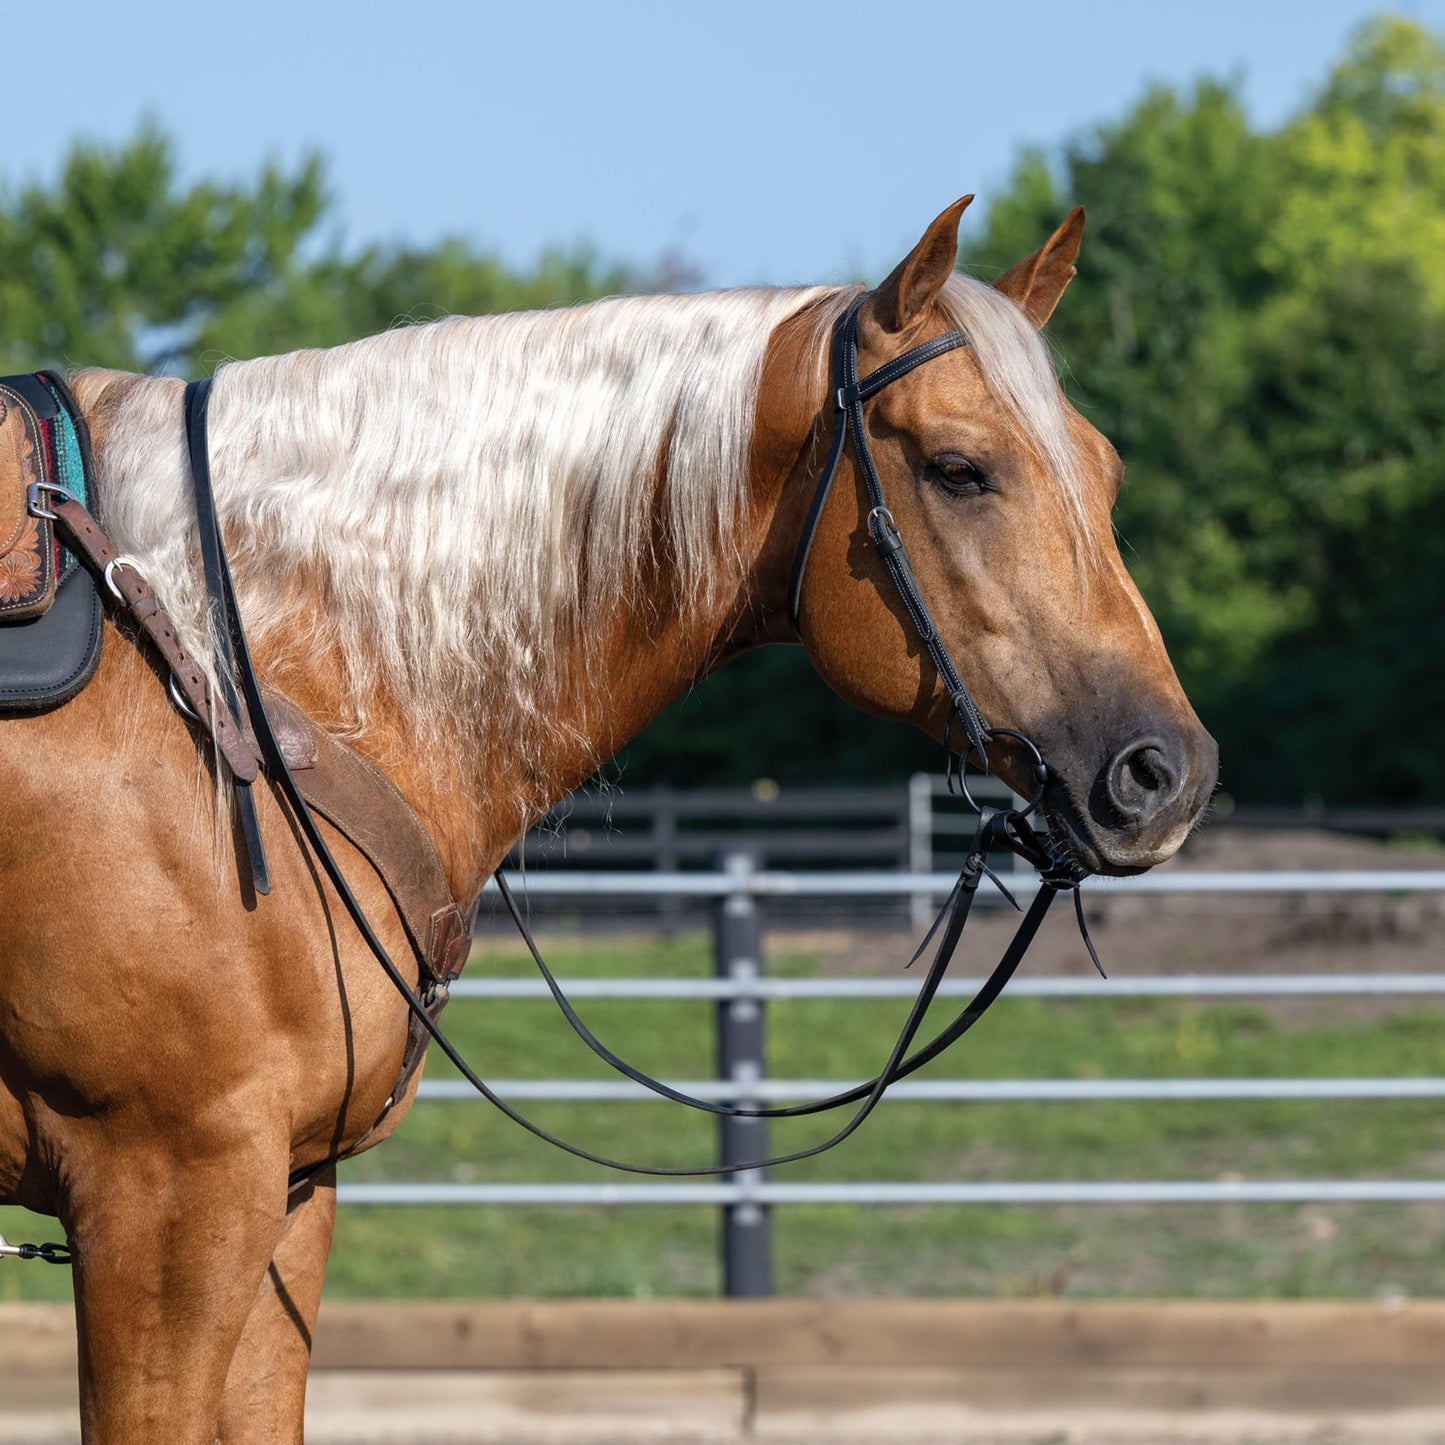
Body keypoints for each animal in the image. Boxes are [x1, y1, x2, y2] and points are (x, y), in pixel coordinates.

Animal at [0, 194, 1216, 1441]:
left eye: (1104, 470)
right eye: (959, 469)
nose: (1161, 772)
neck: (225, 661)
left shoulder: (288, 1190)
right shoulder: (167, 1192)